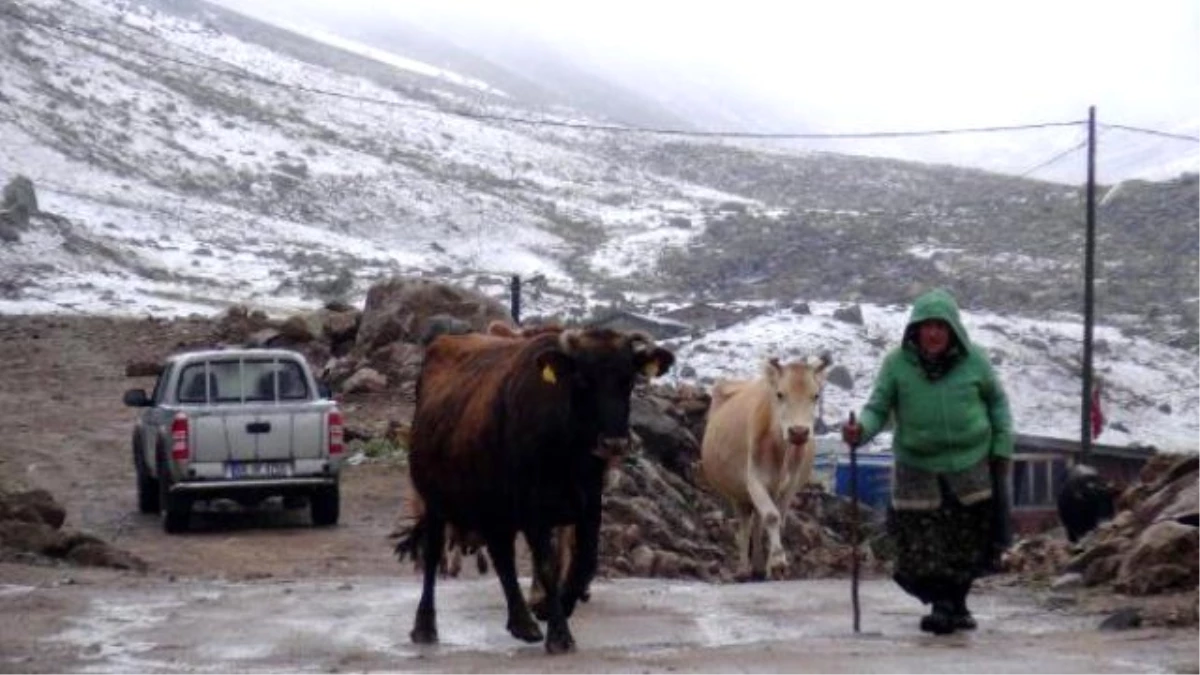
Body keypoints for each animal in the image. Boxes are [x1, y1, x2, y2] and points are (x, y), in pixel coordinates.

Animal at [396, 326, 672, 653]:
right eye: (583, 380)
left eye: (628, 379)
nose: (613, 443)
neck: (567, 454)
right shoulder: (532, 509)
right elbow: (546, 564)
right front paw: (559, 634)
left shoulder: (588, 506)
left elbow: (585, 560)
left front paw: (551, 608)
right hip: (435, 501)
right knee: (434, 553)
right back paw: (425, 626)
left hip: (494, 508)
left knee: (502, 555)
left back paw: (522, 623)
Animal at [700, 353, 830, 578]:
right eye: (780, 394)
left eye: (815, 396)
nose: (798, 432)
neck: (780, 453)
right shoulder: (754, 480)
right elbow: (771, 516)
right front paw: (777, 561)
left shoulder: (790, 486)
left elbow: (779, 518)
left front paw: (772, 565)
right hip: (736, 493)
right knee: (744, 525)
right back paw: (744, 569)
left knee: (757, 523)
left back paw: (759, 566)